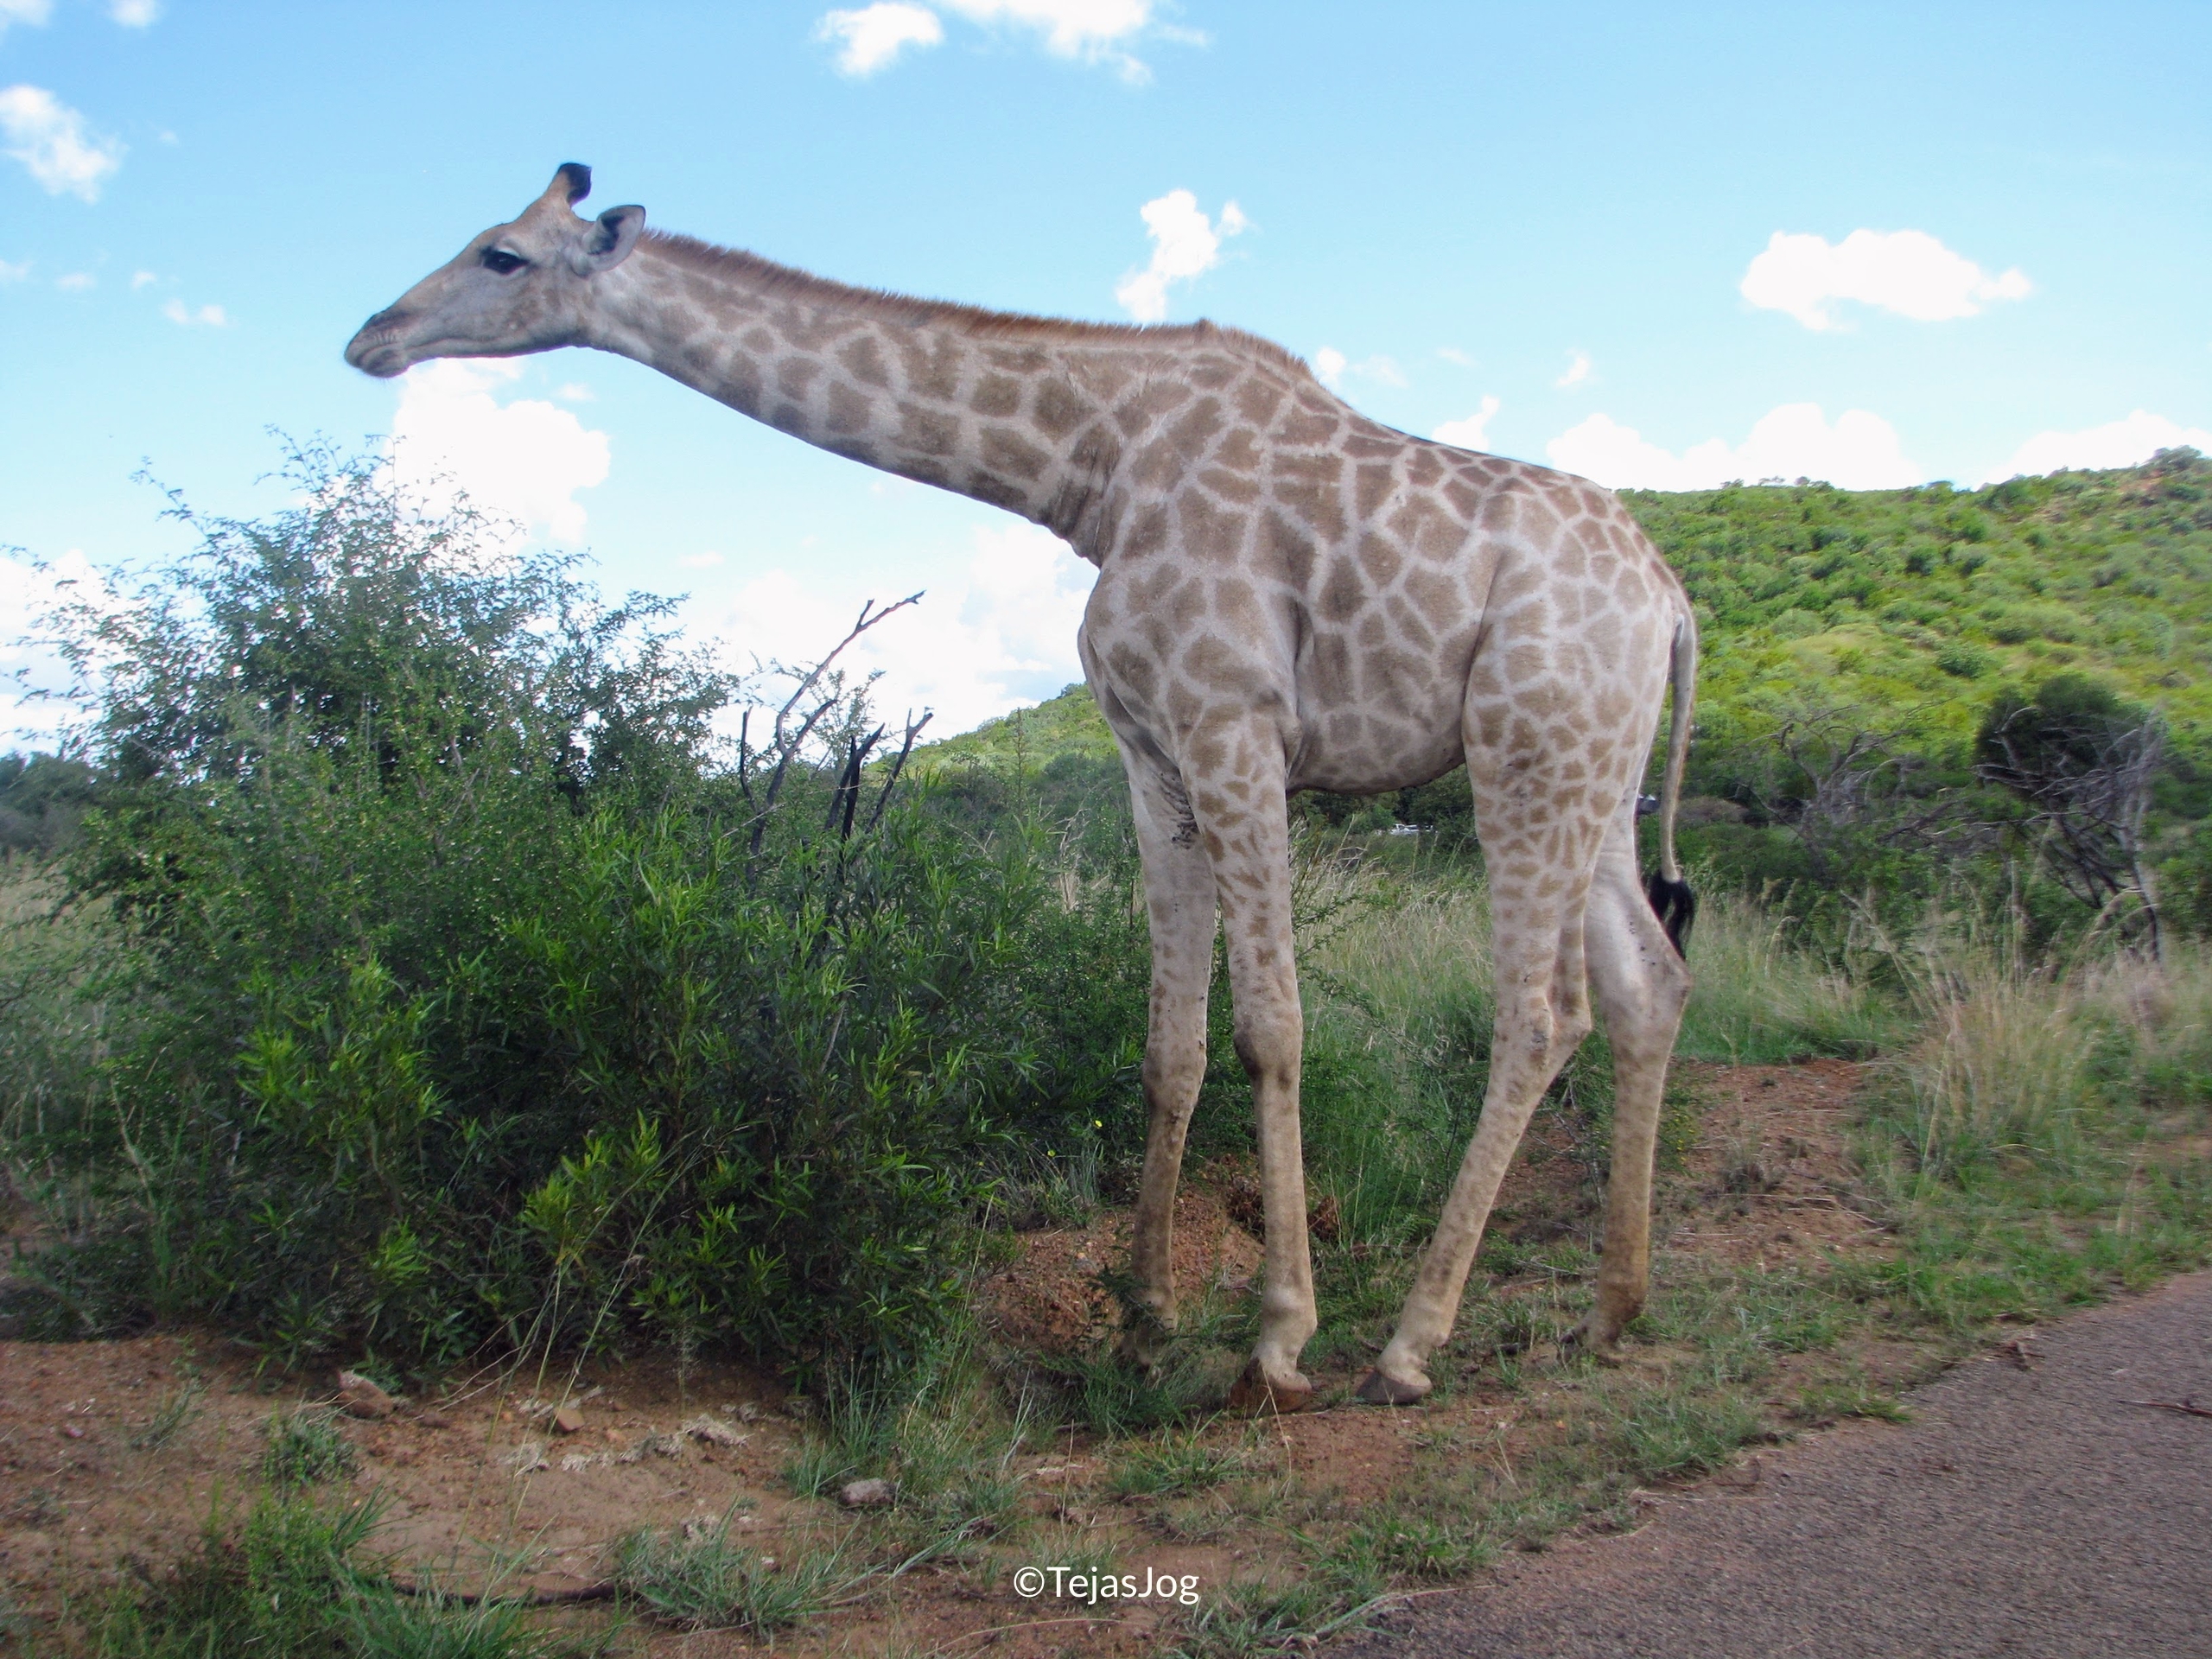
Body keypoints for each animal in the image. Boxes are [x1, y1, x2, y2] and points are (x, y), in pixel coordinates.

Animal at [346, 165, 1699, 1410]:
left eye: (501, 254)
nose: (371, 338)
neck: (1087, 470)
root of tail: (1674, 604)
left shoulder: (1236, 724)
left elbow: (1270, 1027)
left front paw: (1275, 1339)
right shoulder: (1152, 754)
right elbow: (1170, 1045)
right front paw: (1144, 1323)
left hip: (1525, 749)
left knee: (1543, 1012)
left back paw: (1411, 1347)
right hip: (1596, 768)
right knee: (1650, 980)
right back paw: (1613, 1310)